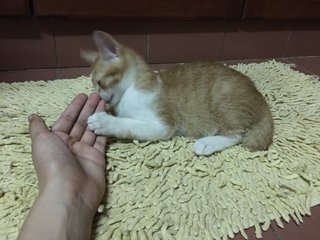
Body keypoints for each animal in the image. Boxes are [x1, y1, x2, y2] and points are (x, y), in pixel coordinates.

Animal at [82, 30, 272, 156]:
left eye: (99, 83)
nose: (100, 96)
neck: (131, 87)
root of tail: (260, 98)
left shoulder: (163, 126)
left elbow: (129, 124)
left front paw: (104, 121)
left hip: (224, 100)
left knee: (238, 133)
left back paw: (207, 143)